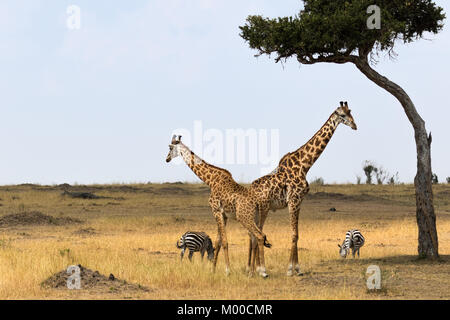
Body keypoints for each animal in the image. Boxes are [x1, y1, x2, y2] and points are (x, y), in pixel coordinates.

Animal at [166, 134, 268, 276]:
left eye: (170, 147)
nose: (167, 159)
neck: (211, 181)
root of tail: (258, 203)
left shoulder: (216, 210)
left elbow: (224, 241)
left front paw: (227, 270)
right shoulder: (223, 215)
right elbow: (218, 241)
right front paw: (212, 269)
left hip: (244, 217)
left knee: (259, 236)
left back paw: (263, 271)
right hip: (255, 217)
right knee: (254, 239)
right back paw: (252, 272)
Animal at [244, 102, 356, 276]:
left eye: (351, 112)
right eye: (342, 115)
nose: (354, 126)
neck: (305, 166)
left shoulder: (299, 202)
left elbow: (297, 234)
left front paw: (297, 268)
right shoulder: (293, 201)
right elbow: (294, 234)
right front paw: (291, 269)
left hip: (259, 210)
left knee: (253, 234)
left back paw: (251, 269)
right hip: (263, 208)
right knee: (258, 233)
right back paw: (261, 270)